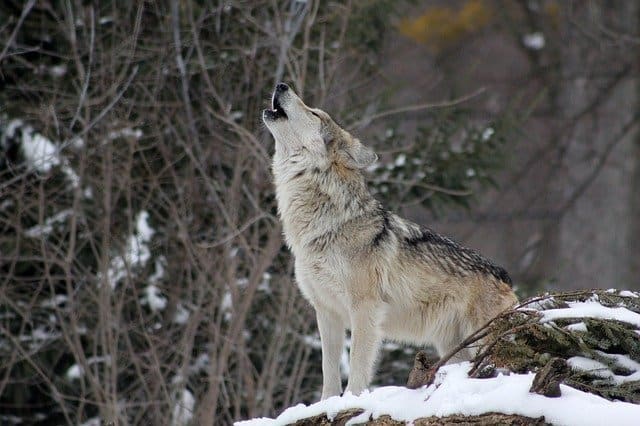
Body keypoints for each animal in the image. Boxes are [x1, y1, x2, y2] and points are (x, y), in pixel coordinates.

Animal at [263, 83, 518, 399]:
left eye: (314, 113)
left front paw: (351, 400)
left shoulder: (365, 309)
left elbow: (357, 366)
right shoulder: (327, 312)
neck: (324, 225)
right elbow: (328, 371)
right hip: (453, 348)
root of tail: (505, 276)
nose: (281, 85)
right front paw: (327, 403)